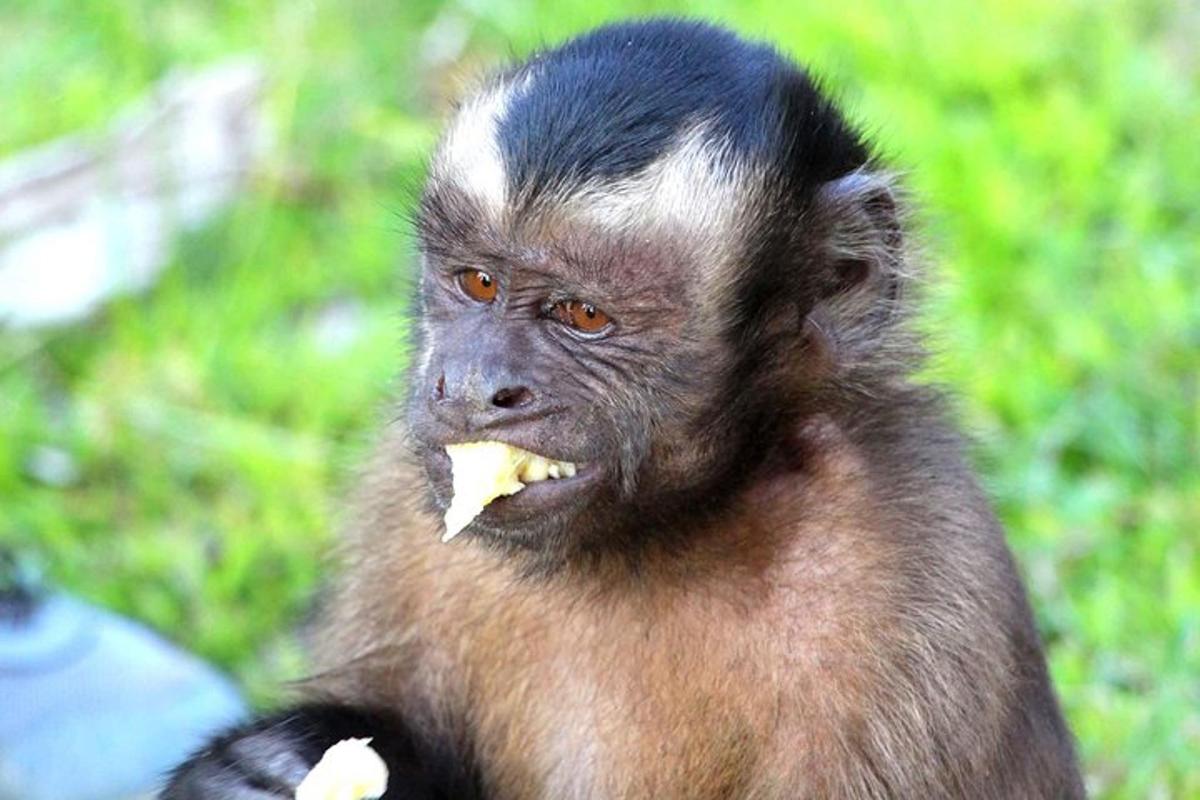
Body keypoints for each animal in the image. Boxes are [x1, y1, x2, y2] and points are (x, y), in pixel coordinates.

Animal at [164, 19, 1085, 800]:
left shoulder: (905, 579)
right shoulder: (403, 497)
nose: (472, 384)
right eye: (479, 282)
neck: (676, 523)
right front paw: (259, 768)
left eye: (583, 315)